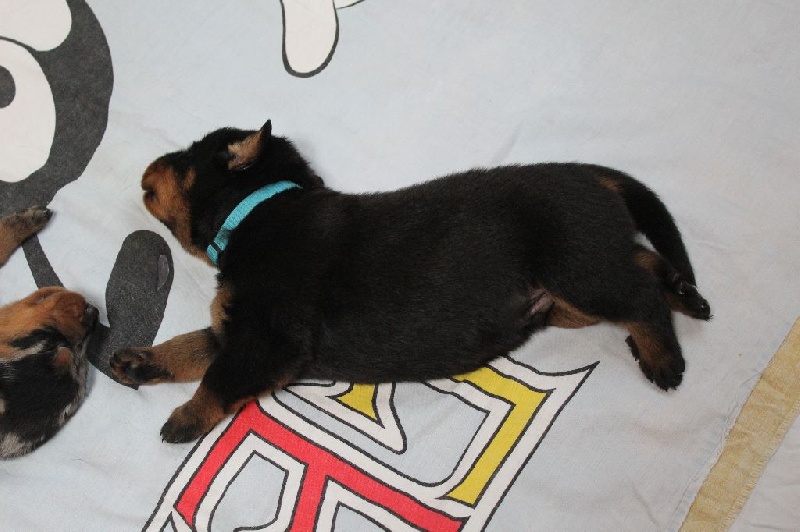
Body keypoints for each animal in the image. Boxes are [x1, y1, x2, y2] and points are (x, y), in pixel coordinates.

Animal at [110, 121, 711, 443]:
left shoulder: (268, 339)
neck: (260, 210)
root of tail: (591, 174)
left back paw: (663, 356)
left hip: (576, 269)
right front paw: (140, 361)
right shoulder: (236, 331)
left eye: (184, 158)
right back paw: (686, 294)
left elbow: (218, 379)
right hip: (565, 297)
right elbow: (189, 348)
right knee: (641, 262)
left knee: (640, 296)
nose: (147, 167)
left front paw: (185, 419)